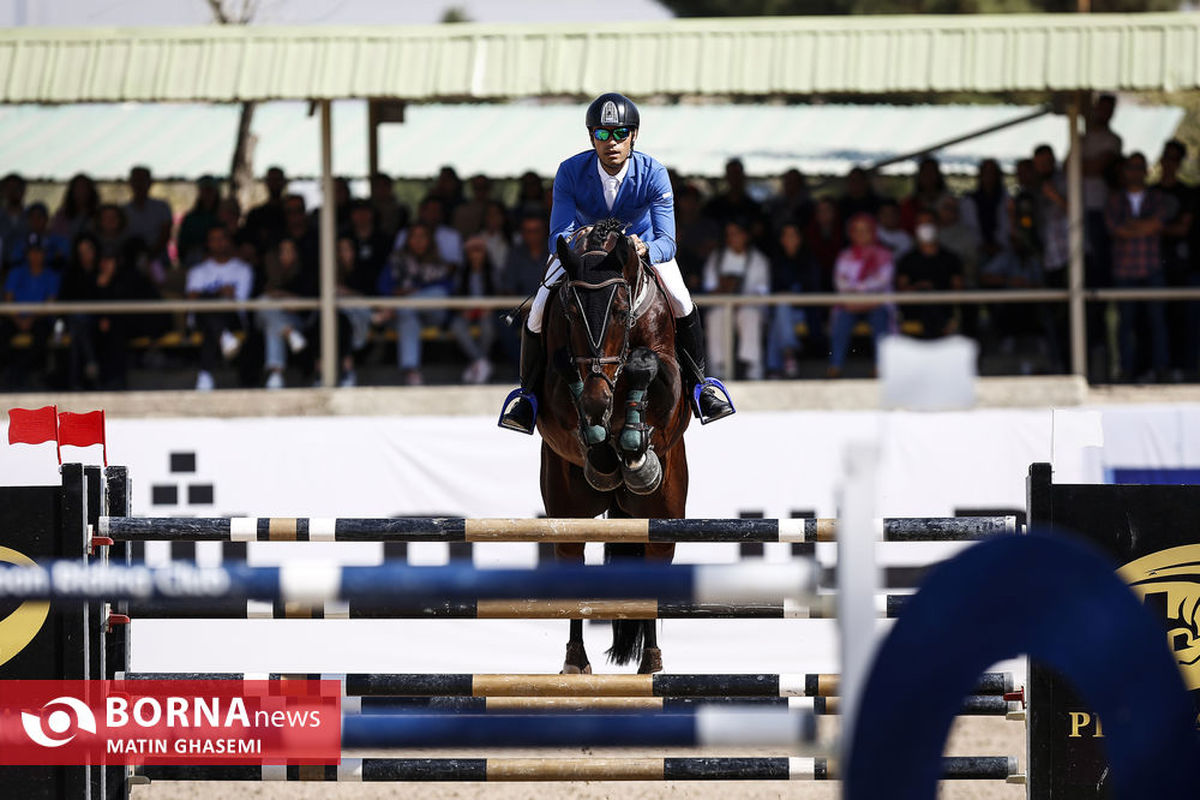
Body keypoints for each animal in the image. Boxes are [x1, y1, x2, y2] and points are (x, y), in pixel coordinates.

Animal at [537, 219, 696, 676]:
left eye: (623, 312)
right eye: (571, 313)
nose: (597, 401)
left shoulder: (669, 381)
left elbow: (648, 363)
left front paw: (633, 448)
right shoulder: (555, 390)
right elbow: (565, 370)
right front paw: (606, 452)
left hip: (662, 514)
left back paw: (651, 664)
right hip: (567, 511)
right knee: (572, 565)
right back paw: (575, 661)